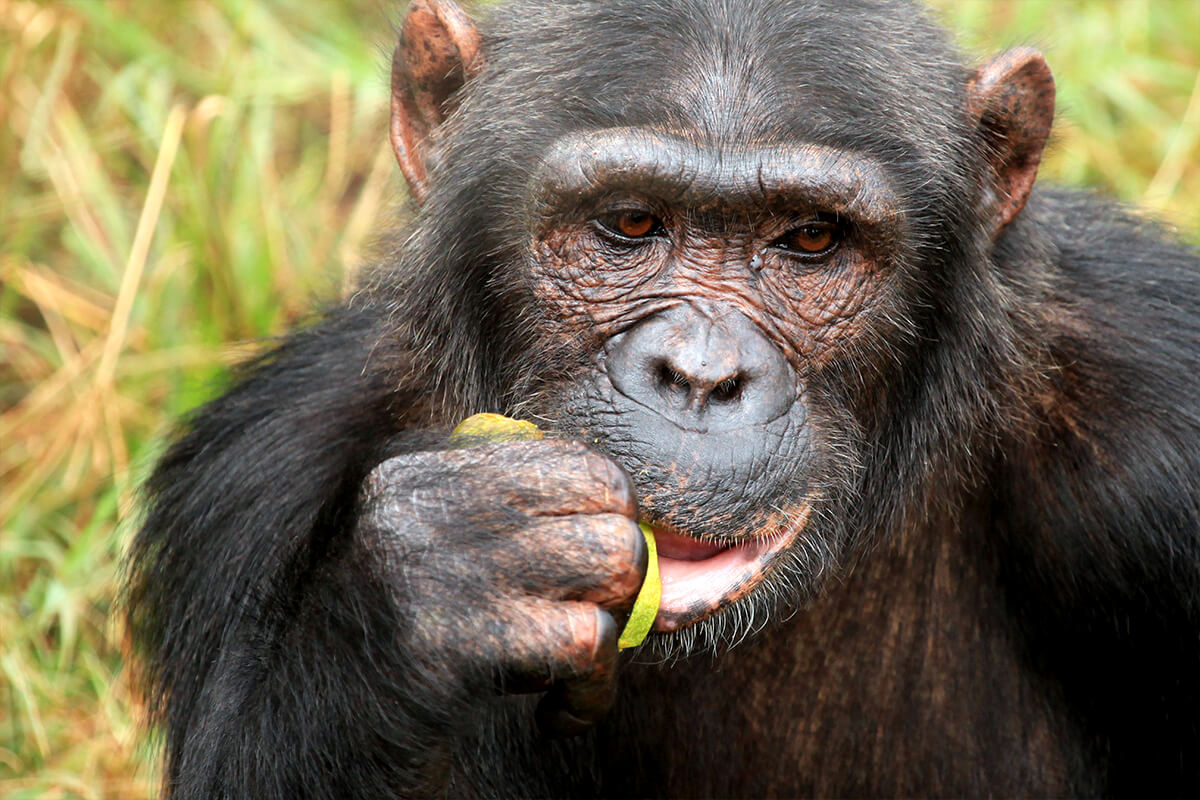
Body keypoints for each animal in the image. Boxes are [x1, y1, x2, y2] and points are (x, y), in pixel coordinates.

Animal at [126, 0, 1200, 796]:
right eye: (630, 223)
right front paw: (442, 574)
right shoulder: (258, 477)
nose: (701, 374)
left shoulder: (1161, 434)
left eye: (812, 240)